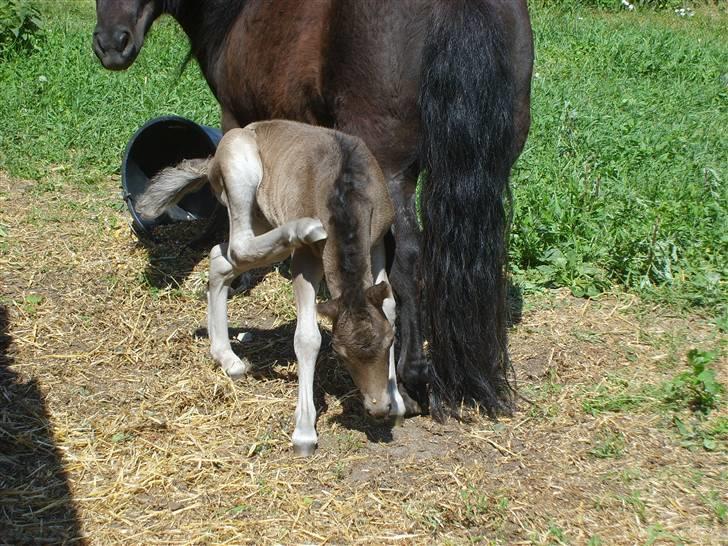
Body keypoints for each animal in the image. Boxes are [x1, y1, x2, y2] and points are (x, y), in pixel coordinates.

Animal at [92, 0, 536, 416]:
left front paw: (238, 274)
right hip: (492, 168)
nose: (111, 45)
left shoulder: (237, 116)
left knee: (409, 258)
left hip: (392, 168)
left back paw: (411, 377)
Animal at [136, 120, 406, 454]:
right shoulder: (305, 260)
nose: (377, 408)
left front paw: (397, 401)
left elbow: (390, 306)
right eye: (340, 354)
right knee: (238, 247)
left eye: (389, 342)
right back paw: (304, 228)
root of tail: (212, 160)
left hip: (261, 218)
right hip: (240, 171)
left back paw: (227, 358)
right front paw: (304, 432)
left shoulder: (377, 241)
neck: (346, 191)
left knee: (220, 258)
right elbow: (307, 338)